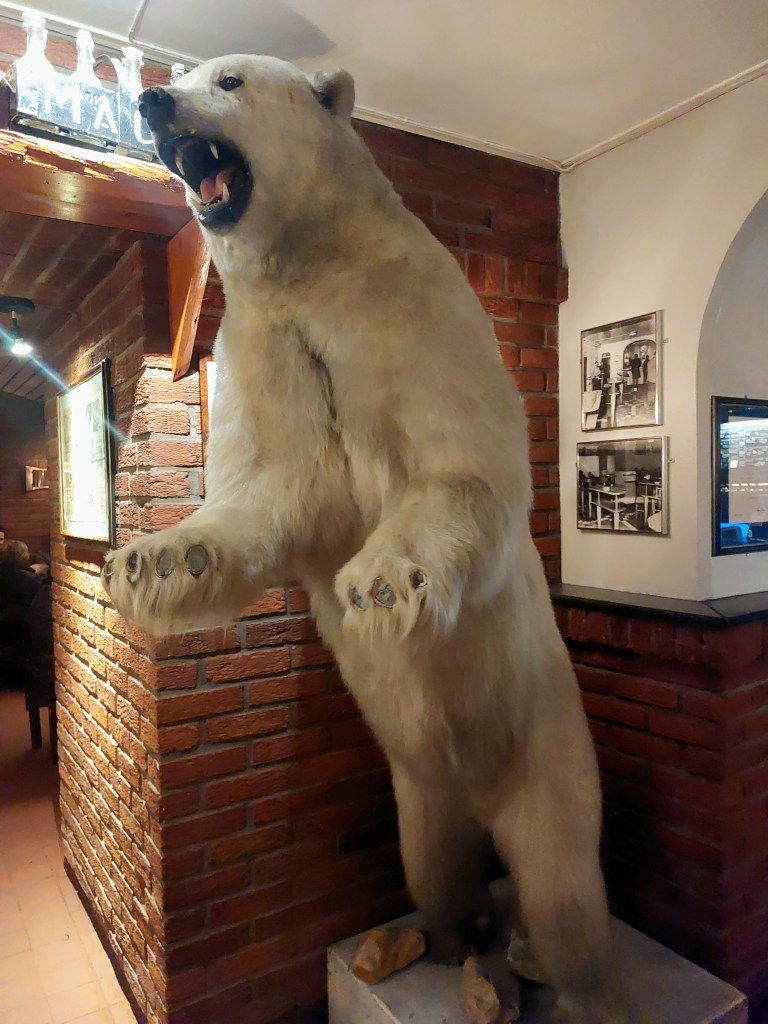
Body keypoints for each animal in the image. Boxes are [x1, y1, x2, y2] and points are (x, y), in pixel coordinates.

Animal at [102, 55, 627, 1023]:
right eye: (182, 73)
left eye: (228, 78)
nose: (152, 100)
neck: (312, 263)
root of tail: (484, 791)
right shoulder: (266, 340)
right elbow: (274, 487)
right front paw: (160, 557)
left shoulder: (412, 308)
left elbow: (461, 473)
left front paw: (380, 583)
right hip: (417, 790)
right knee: (438, 864)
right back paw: (443, 941)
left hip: (548, 749)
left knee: (564, 882)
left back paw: (558, 972)